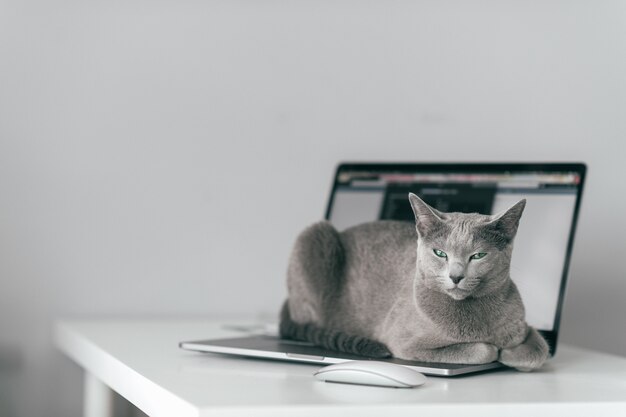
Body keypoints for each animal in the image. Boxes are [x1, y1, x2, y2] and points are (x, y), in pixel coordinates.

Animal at [278, 193, 544, 370]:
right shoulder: (405, 344)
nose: (456, 276)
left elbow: (538, 351)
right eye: (440, 253)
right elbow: (482, 350)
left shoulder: (524, 326)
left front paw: (512, 351)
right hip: (313, 236)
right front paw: (497, 350)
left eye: (478, 255)